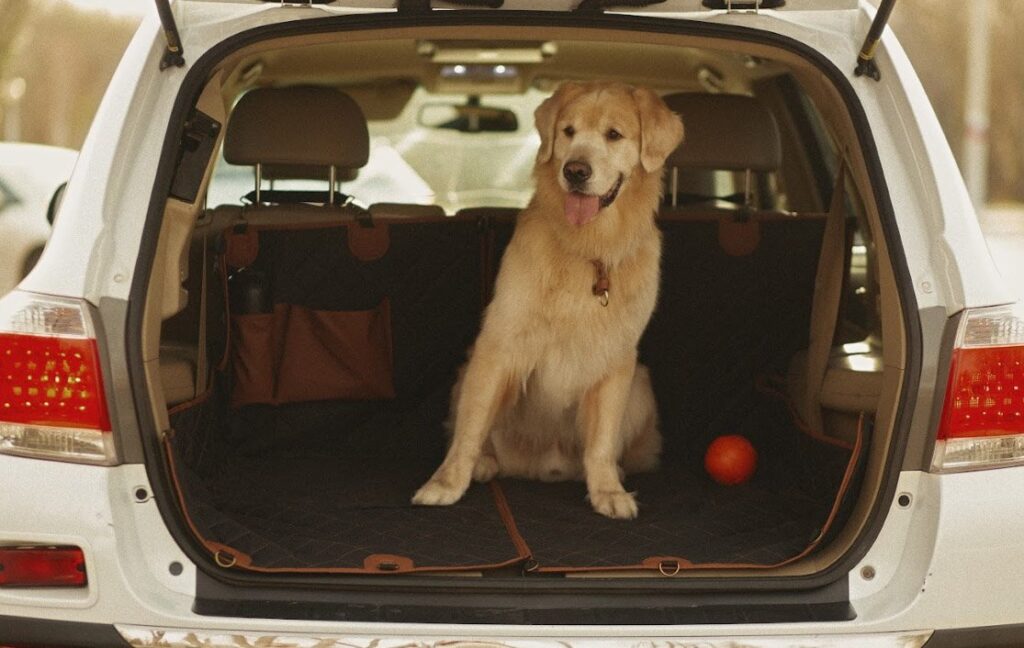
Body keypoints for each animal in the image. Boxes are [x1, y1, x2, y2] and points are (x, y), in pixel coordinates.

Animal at [411, 80, 684, 517]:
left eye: (614, 135)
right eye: (568, 131)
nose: (574, 171)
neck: (590, 248)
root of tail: (545, 466)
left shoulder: (618, 358)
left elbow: (601, 441)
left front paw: (607, 491)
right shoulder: (498, 345)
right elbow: (470, 430)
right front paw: (446, 484)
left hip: (640, 385)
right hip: (468, 372)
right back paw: (485, 463)